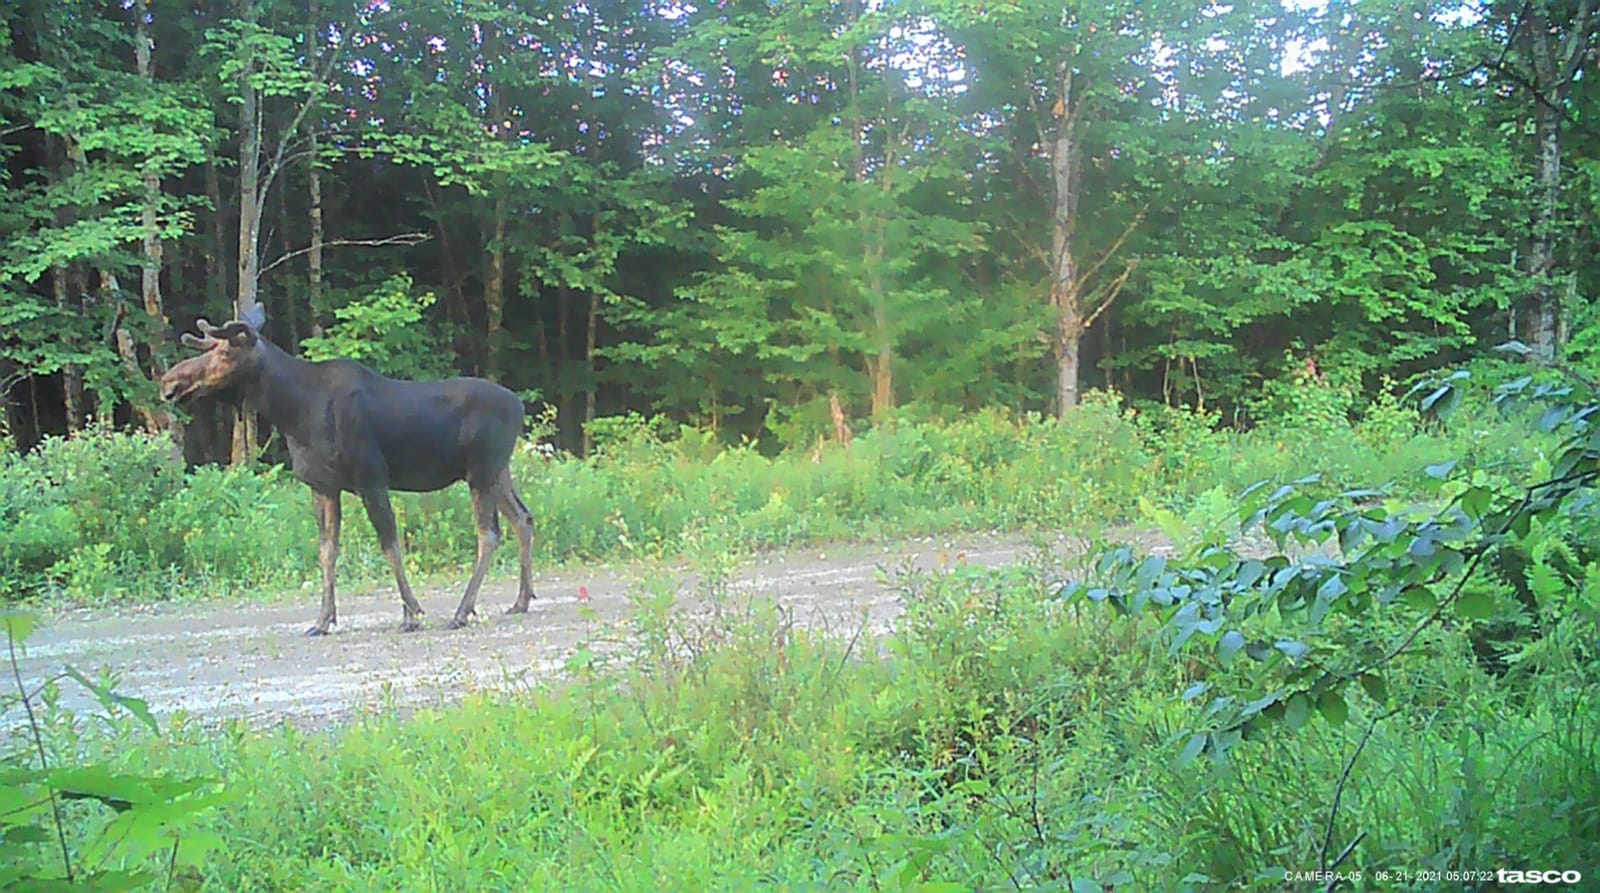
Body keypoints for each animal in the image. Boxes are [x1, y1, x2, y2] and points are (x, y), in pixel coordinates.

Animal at [159, 307, 538, 636]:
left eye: (226, 352)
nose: (169, 383)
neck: (293, 414)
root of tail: (520, 406)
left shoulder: (371, 477)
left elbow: (390, 544)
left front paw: (411, 613)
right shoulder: (323, 486)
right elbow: (327, 551)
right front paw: (323, 620)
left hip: (482, 471)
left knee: (489, 533)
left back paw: (462, 611)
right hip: (498, 472)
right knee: (523, 517)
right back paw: (521, 600)